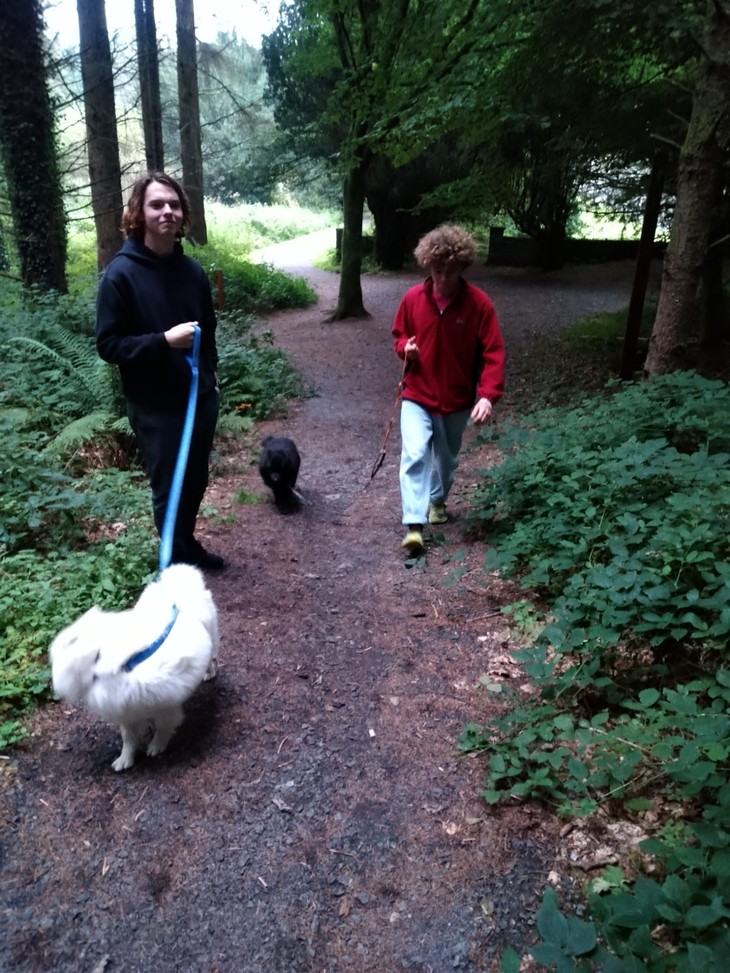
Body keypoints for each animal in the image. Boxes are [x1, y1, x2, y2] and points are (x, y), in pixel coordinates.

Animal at [50, 564, 218, 772]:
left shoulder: (166, 706)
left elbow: (163, 728)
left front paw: (156, 746)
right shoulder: (127, 714)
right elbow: (128, 740)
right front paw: (125, 760)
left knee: (211, 657)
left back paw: (209, 672)